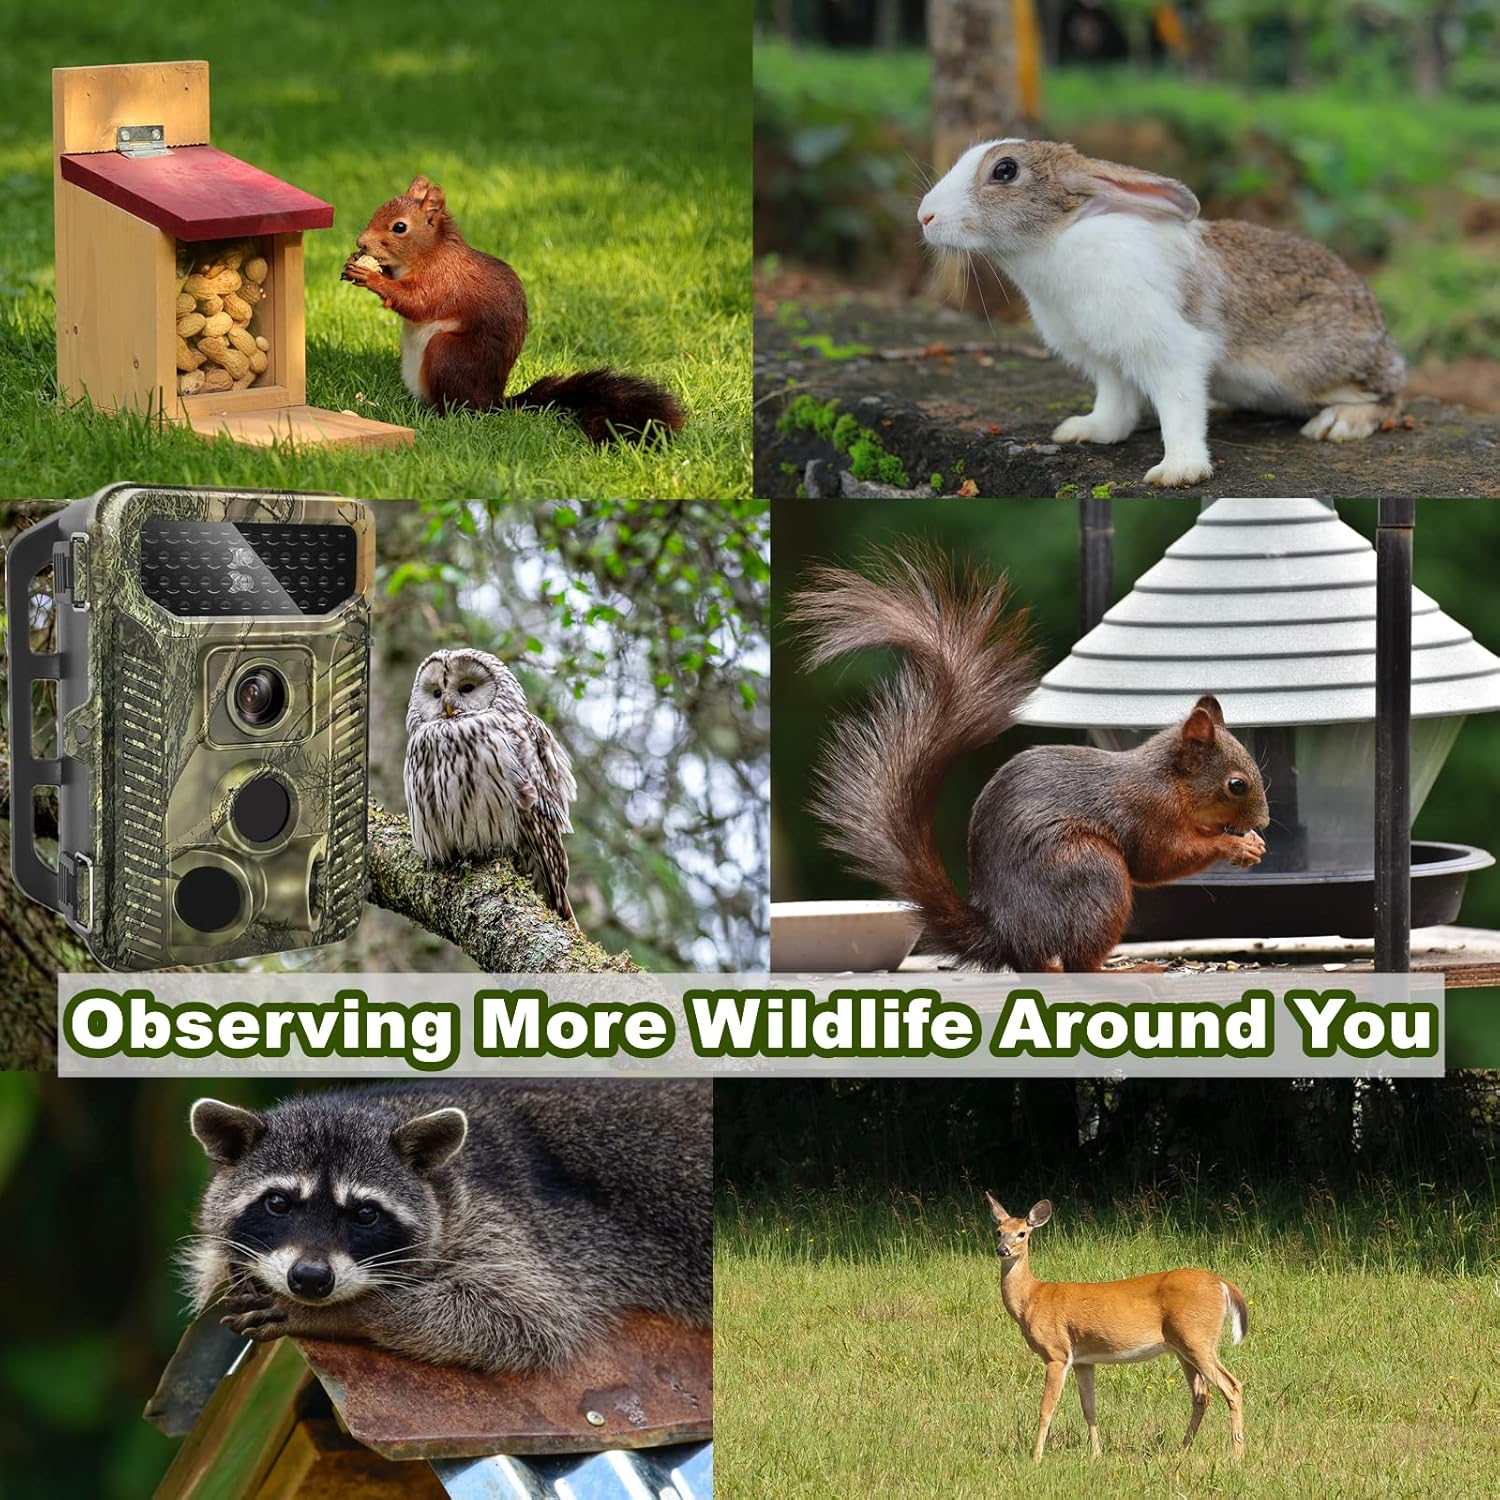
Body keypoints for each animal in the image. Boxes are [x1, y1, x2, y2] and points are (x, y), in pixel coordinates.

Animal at [985, 1194, 1247, 1461]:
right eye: (998, 1231)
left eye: (1022, 1233)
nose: (1002, 1250)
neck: (1031, 1298)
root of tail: (1223, 1284)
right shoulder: (1083, 1360)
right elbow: (1089, 1407)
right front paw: (1096, 1454)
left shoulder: (1056, 1353)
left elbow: (1046, 1408)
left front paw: (1036, 1457)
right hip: (1183, 1347)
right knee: (1202, 1395)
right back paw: (1183, 1450)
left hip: (1197, 1338)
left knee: (1232, 1386)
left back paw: (1237, 1455)